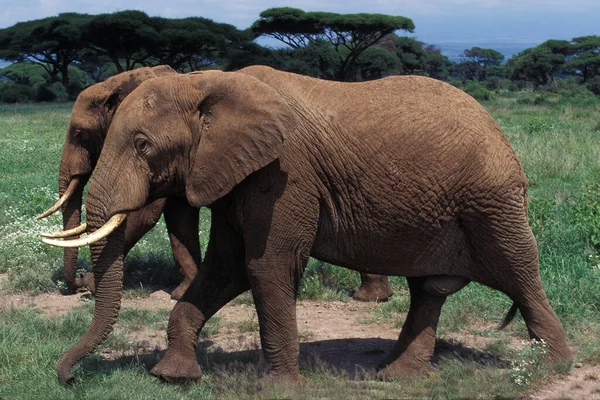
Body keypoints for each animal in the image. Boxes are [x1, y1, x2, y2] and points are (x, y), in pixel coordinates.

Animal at [37, 65, 199, 298]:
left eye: (80, 134)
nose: (78, 280)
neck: (114, 85)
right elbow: (179, 214)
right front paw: (186, 292)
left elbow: (142, 214)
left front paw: (92, 285)